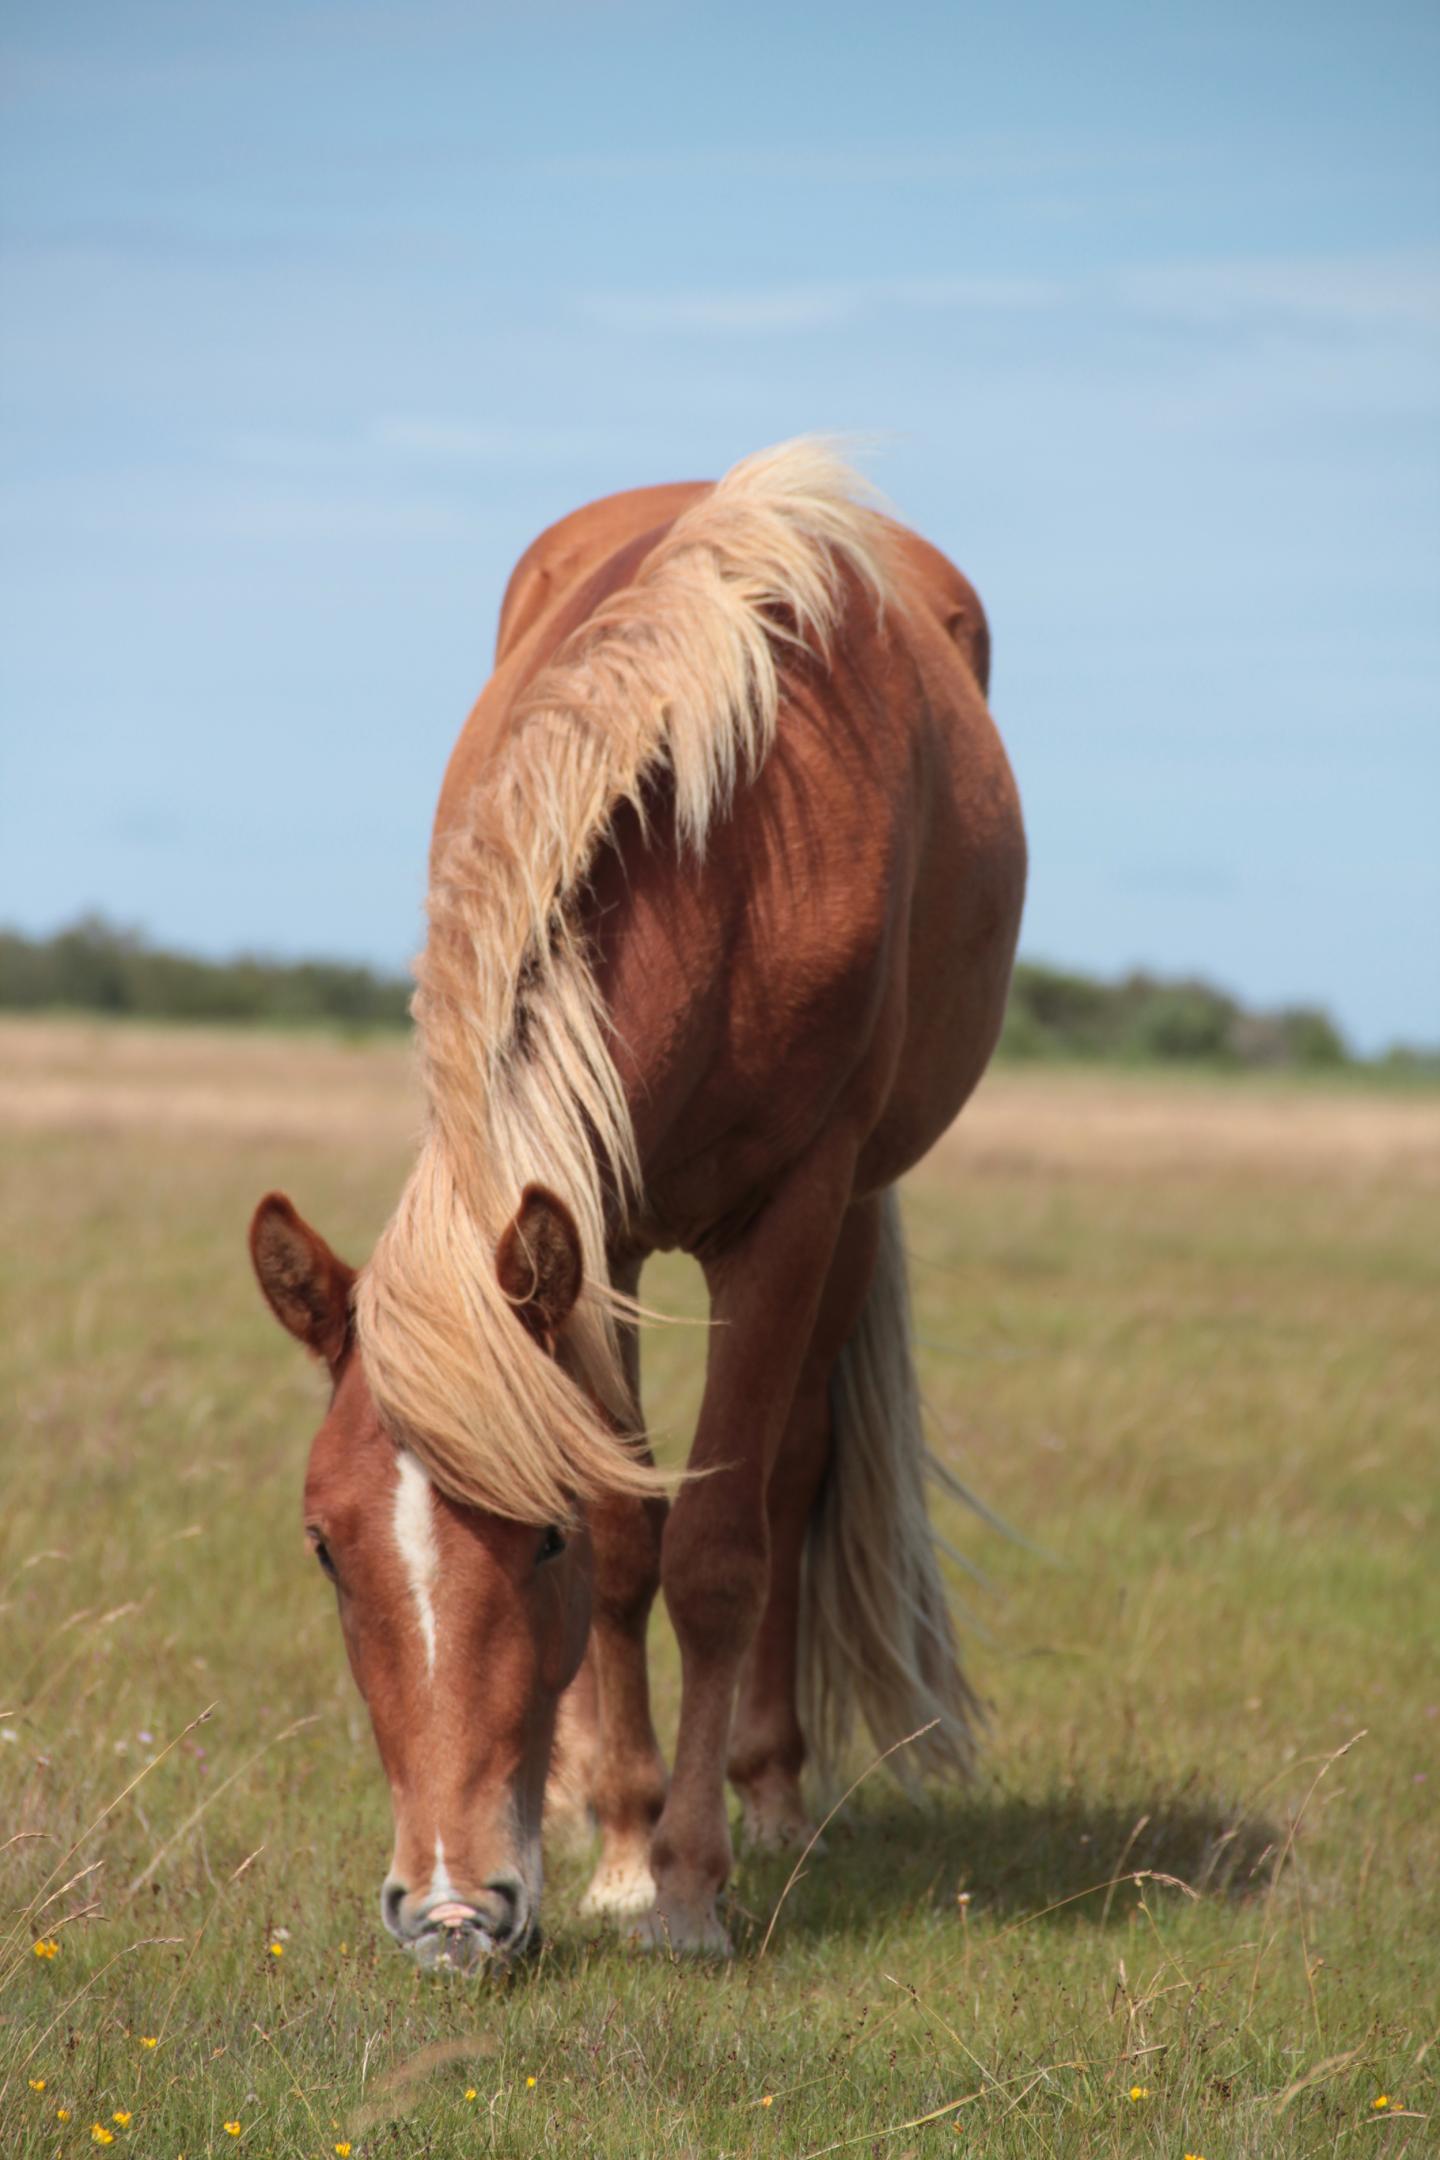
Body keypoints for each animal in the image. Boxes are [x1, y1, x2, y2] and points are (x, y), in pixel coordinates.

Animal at [248, 447, 1023, 1969]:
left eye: (530, 1533)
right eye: (321, 1546)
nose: (449, 1909)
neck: (730, 853)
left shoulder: (794, 1211)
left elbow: (717, 1548)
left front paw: (685, 1887)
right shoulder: (586, 1239)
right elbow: (630, 1545)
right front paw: (614, 1846)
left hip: (855, 1213)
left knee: (790, 1475)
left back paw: (769, 1799)